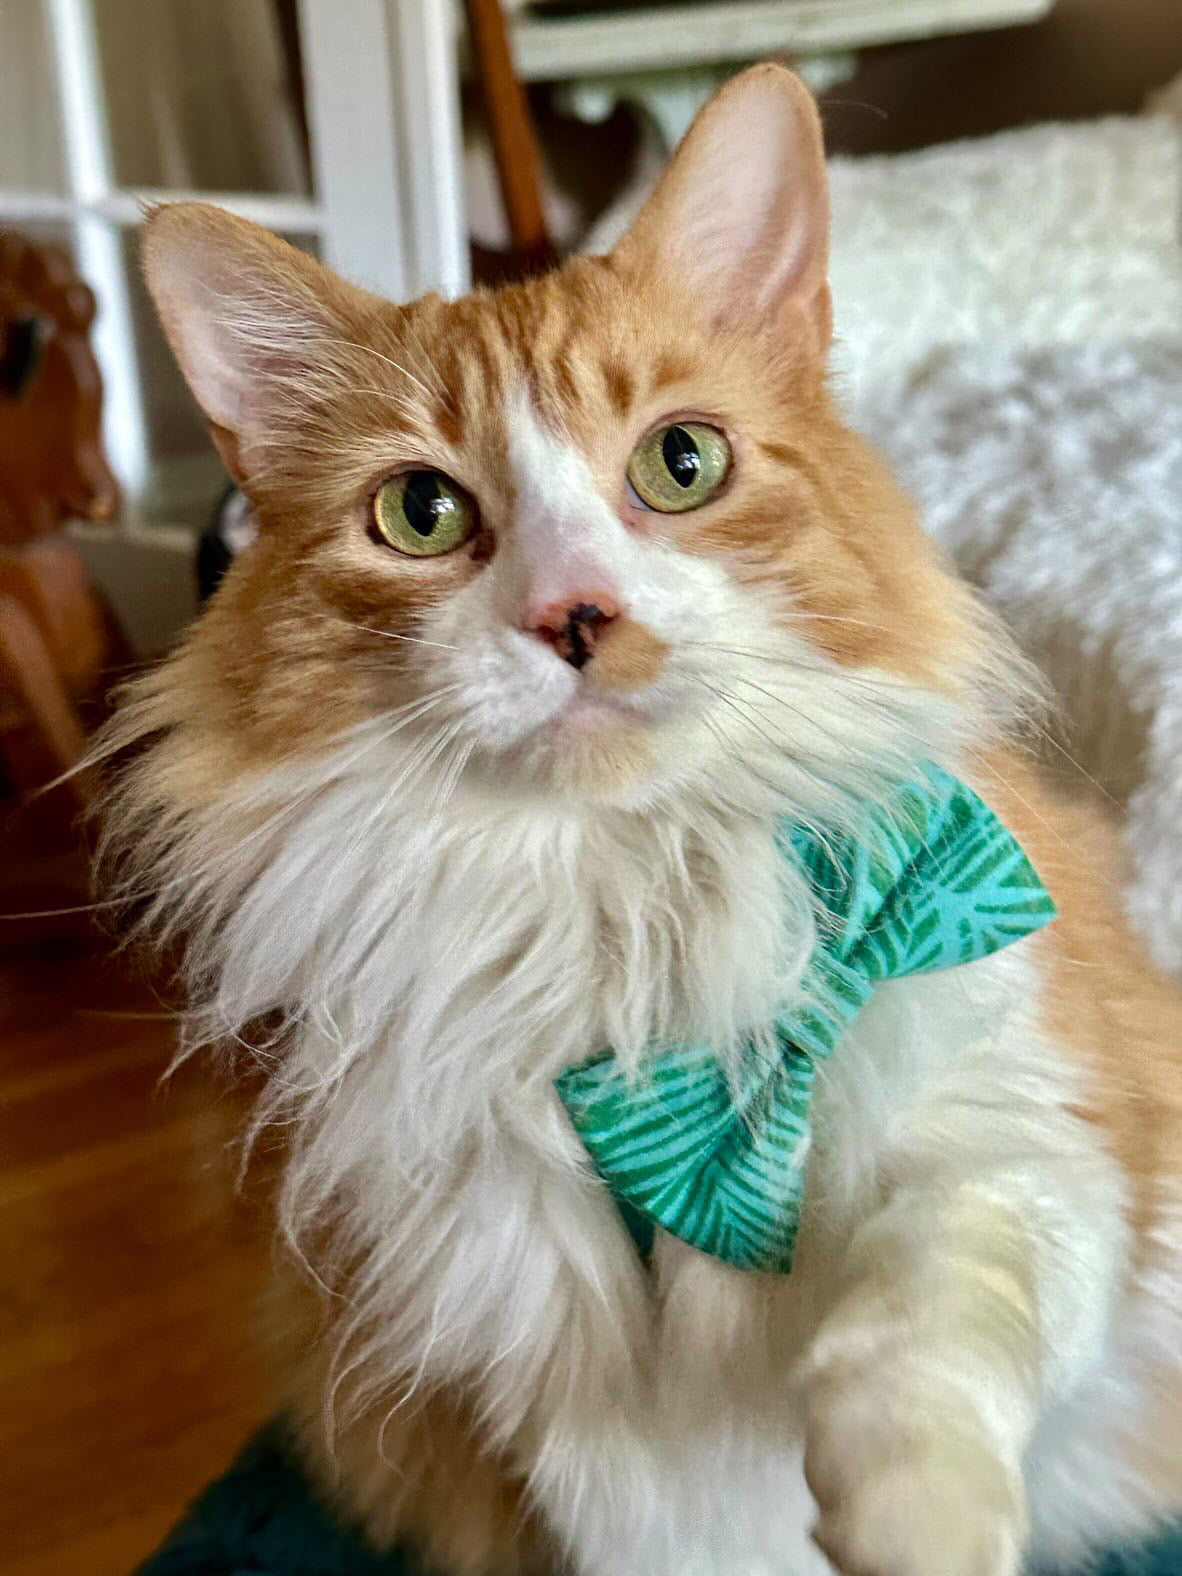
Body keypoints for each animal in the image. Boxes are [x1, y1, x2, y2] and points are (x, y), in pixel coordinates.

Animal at [104, 64, 1182, 1576]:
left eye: (680, 463)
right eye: (420, 512)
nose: (575, 616)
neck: (629, 934)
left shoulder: (1026, 1118)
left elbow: (937, 1305)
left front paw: (916, 1517)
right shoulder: (536, 1367)